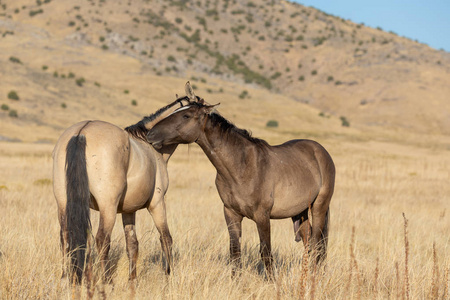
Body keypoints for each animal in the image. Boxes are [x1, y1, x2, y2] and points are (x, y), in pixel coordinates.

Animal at [51, 86, 198, 284]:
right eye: (187, 115)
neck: (151, 147)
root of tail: (82, 132)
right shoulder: (157, 203)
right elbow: (166, 239)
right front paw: (169, 276)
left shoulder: (129, 210)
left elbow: (132, 244)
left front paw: (132, 279)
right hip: (108, 206)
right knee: (102, 239)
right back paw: (106, 280)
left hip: (63, 202)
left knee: (65, 236)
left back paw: (65, 277)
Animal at [146, 88, 336, 276]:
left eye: (186, 115)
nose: (150, 134)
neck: (241, 166)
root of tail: (321, 151)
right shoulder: (231, 213)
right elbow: (235, 251)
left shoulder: (262, 216)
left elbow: (266, 252)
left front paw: (272, 281)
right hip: (300, 211)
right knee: (308, 241)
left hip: (319, 206)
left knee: (316, 243)